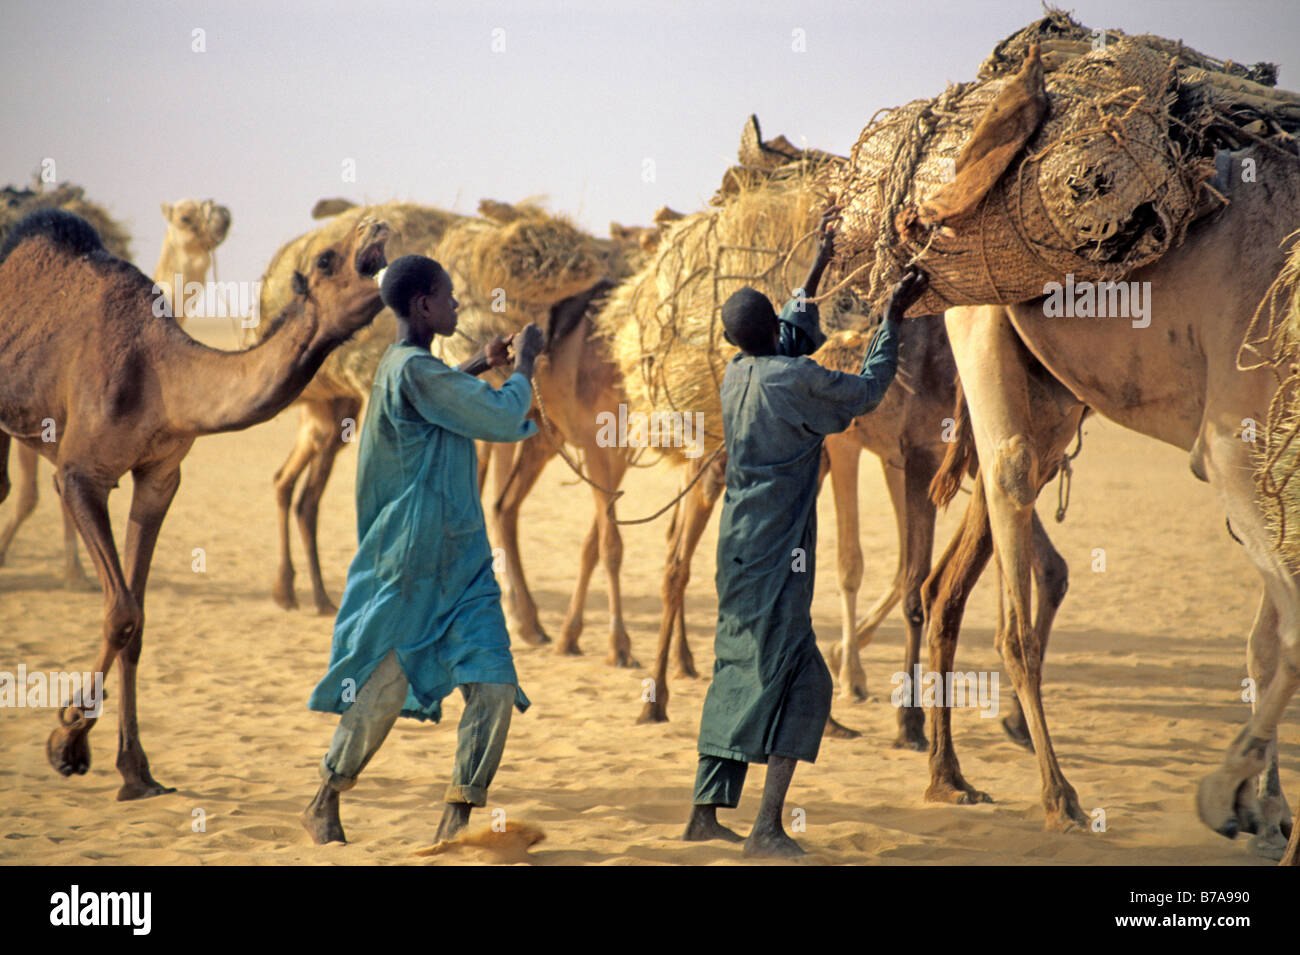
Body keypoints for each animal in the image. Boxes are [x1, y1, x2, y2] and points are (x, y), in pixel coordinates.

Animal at [933, 143, 1300, 862]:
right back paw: (1057, 797)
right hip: (979, 314)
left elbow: (1265, 642)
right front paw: (1225, 795)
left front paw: (1265, 810)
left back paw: (958, 776)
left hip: (1051, 393)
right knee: (1011, 510)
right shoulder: (1236, 444)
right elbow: (1289, 633)